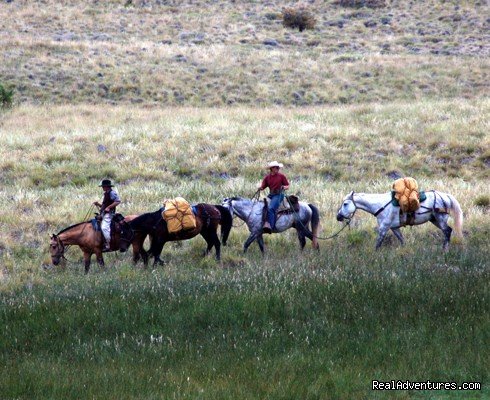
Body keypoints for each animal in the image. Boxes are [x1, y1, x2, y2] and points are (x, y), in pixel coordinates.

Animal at [336, 191, 464, 250]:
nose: (338, 217)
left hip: (440, 219)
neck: (381, 205)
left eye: (345, 204)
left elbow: (378, 244)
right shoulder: (394, 228)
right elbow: (402, 240)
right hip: (435, 220)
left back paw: (445, 249)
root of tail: (446, 196)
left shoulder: (384, 228)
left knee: (447, 231)